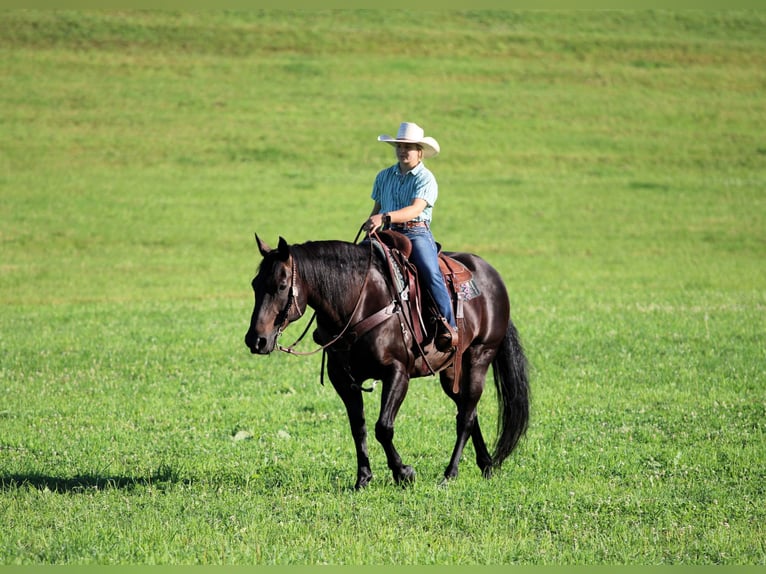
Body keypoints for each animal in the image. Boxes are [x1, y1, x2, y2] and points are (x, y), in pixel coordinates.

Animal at [244, 233, 530, 489]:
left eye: (282, 285)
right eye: (254, 284)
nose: (256, 340)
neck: (359, 302)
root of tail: (491, 275)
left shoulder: (397, 373)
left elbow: (383, 427)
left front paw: (404, 473)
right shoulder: (343, 379)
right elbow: (357, 427)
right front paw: (363, 478)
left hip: (480, 356)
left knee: (466, 417)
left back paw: (449, 474)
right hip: (451, 370)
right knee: (468, 410)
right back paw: (486, 465)